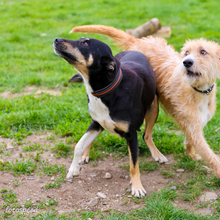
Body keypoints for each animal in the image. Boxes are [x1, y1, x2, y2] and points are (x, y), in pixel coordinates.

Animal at [53, 37, 156, 197]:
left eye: (85, 43)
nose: (56, 39)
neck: (106, 90)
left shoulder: (131, 134)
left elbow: (133, 164)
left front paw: (137, 187)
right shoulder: (96, 124)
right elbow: (78, 146)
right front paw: (74, 168)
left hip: (154, 107)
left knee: (147, 135)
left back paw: (159, 155)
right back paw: (85, 156)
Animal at [70, 24, 220, 178]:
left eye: (203, 51)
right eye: (186, 52)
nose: (187, 62)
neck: (198, 90)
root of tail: (137, 40)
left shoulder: (196, 124)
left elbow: (190, 140)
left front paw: (191, 154)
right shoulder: (193, 128)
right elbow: (210, 155)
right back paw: (85, 154)